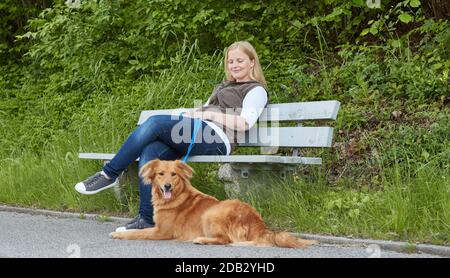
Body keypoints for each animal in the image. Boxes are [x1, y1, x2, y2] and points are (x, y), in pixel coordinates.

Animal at [110, 160, 316, 249]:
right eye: (161, 174)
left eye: (173, 174)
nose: (167, 185)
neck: (176, 195)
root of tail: (257, 222)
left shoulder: (162, 232)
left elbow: (138, 233)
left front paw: (118, 233)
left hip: (211, 214)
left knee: (225, 240)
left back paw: (201, 239)